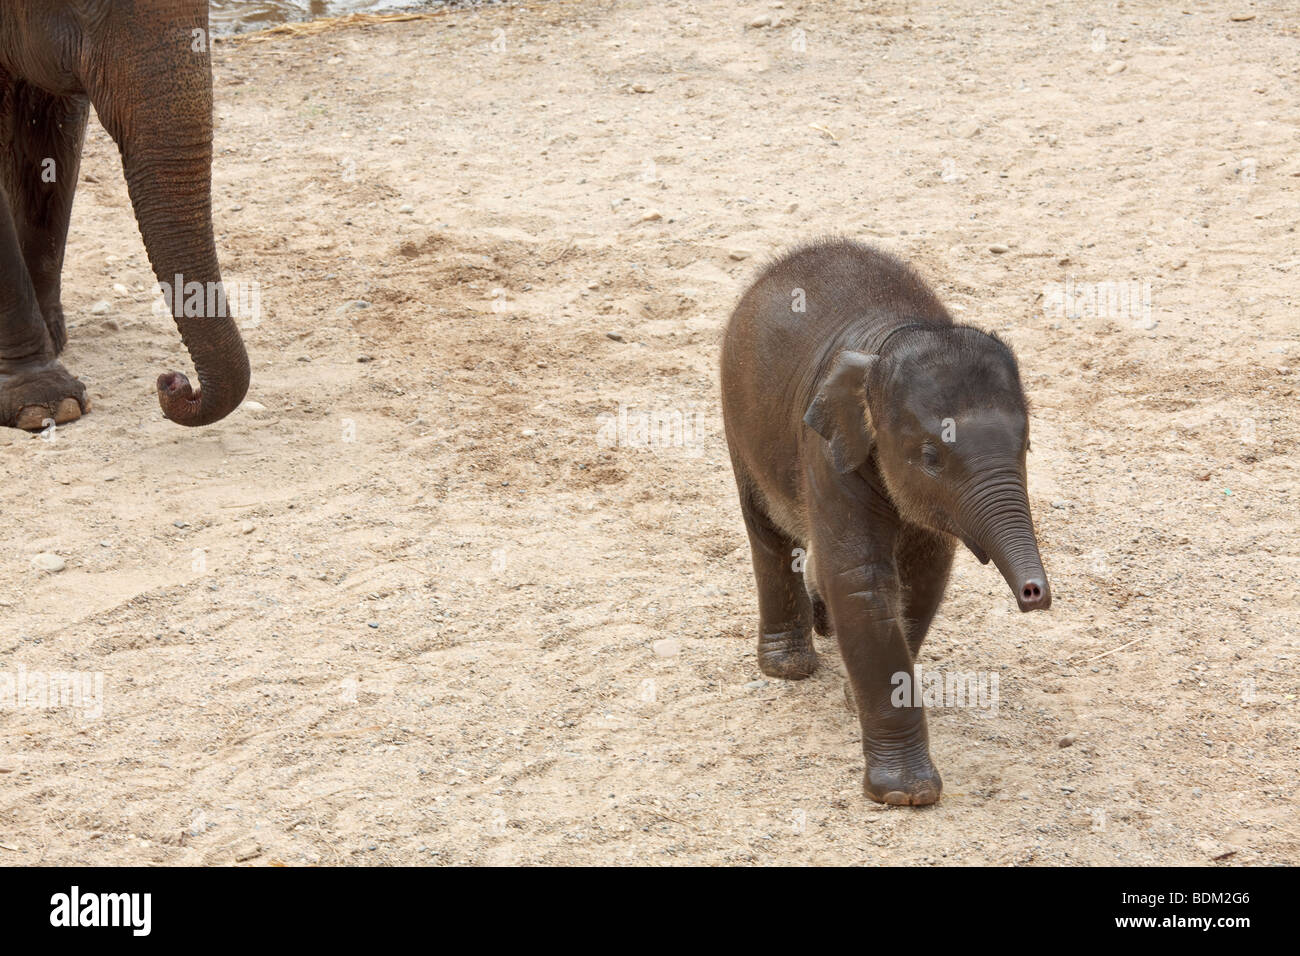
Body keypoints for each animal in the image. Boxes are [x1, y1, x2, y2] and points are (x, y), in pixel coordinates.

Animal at [720, 238, 1052, 806]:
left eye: (1027, 446)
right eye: (931, 456)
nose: (1035, 594)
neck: (896, 334)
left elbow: (922, 578)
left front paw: (854, 697)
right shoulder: (827, 451)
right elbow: (862, 582)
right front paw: (905, 795)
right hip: (737, 417)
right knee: (768, 532)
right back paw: (788, 667)